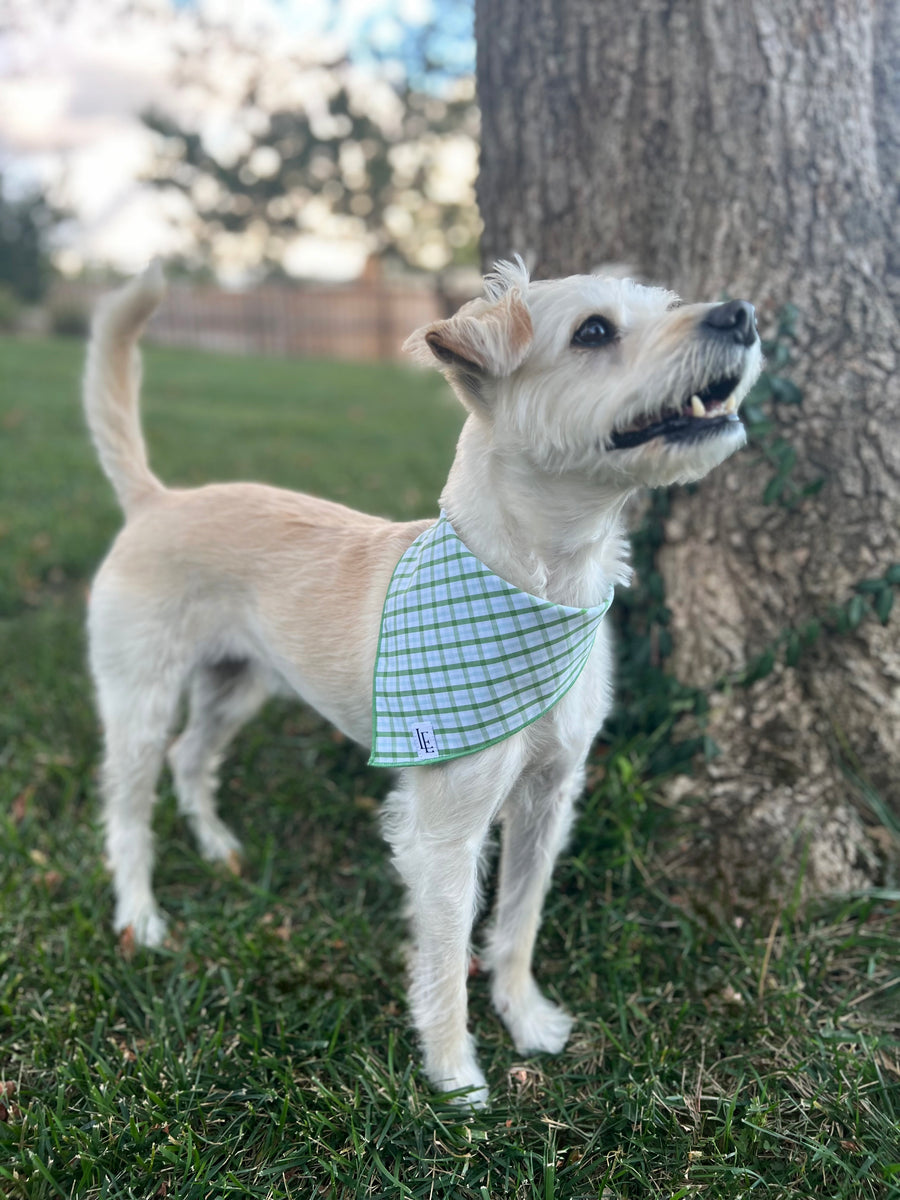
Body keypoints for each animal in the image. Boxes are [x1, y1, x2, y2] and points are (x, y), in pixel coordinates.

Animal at [82, 260, 763, 1104]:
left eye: (666, 304)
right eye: (594, 331)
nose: (742, 316)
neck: (542, 585)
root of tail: (157, 500)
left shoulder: (548, 798)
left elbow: (518, 923)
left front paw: (524, 1016)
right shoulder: (443, 831)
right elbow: (441, 960)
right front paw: (455, 1079)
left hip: (236, 686)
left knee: (192, 758)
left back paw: (216, 848)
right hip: (138, 701)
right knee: (127, 813)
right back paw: (141, 917)